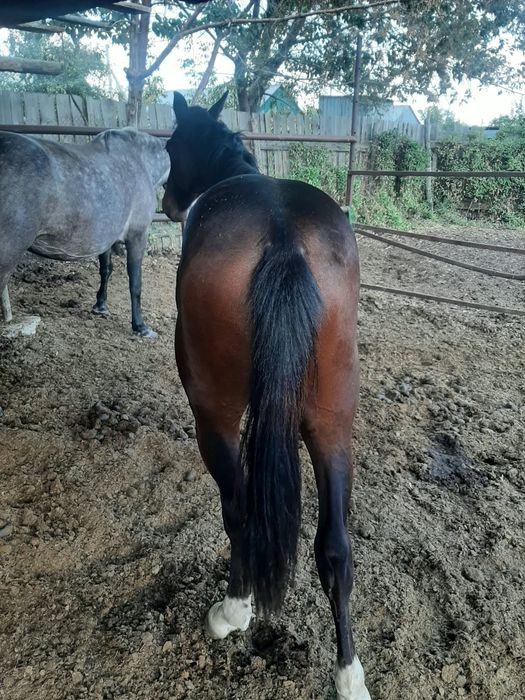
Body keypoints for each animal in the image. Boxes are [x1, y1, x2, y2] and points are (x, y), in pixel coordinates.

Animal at [0, 128, 170, 337]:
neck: (140, 161)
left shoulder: (106, 237)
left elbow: (106, 270)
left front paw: (100, 306)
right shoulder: (137, 236)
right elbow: (135, 282)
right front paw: (141, 326)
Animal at [162, 92, 370, 700]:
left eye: (170, 146)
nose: (166, 201)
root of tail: (281, 235)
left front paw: (236, 611)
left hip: (215, 414)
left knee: (239, 509)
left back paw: (233, 610)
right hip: (331, 418)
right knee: (335, 547)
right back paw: (349, 673)